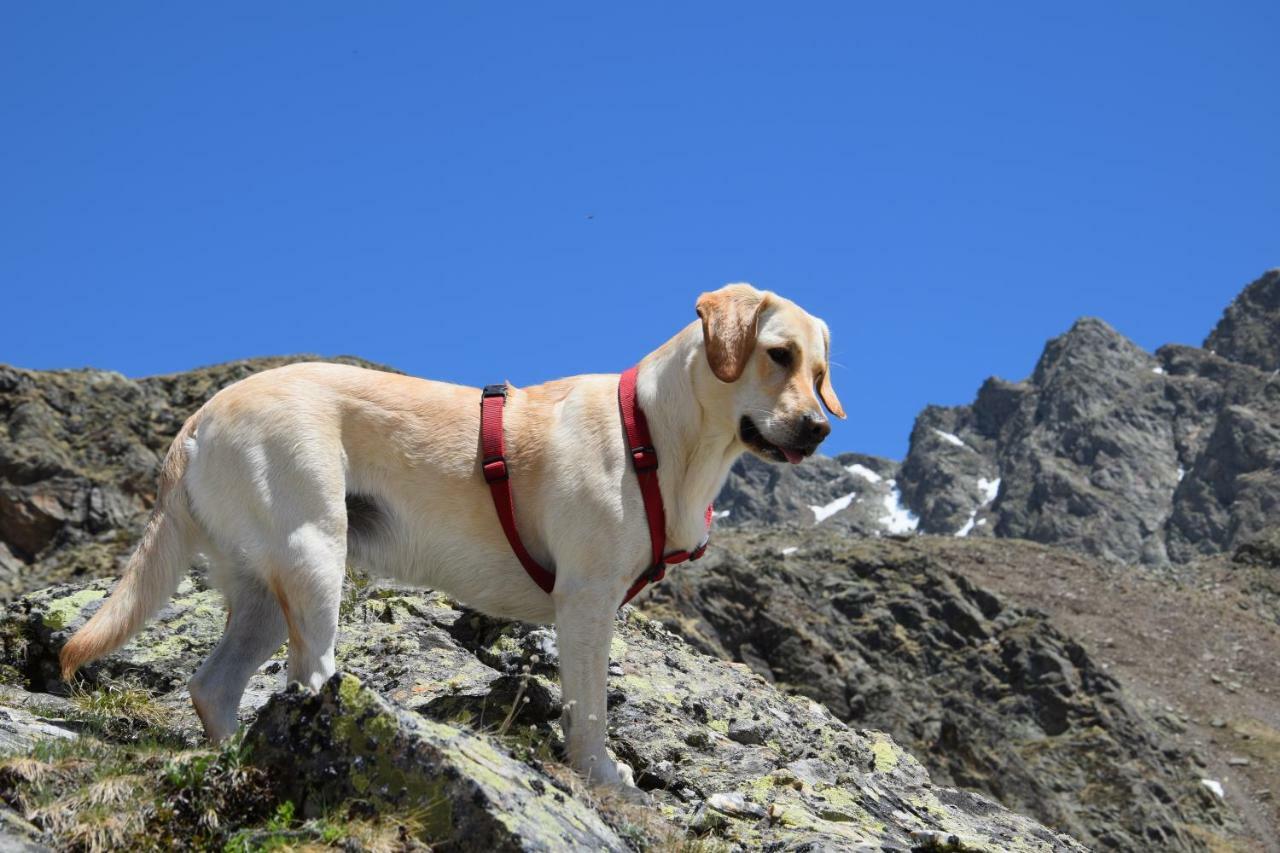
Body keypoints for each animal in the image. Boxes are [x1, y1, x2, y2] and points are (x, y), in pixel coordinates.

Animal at [60, 281, 844, 788]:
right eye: (777, 353)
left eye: (819, 369)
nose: (818, 428)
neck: (660, 436)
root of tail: (201, 417)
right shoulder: (586, 603)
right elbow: (588, 708)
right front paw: (601, 774)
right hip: (315, 554)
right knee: (306, 673)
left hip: (259, 589)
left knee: (215, 686)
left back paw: (239, 758)